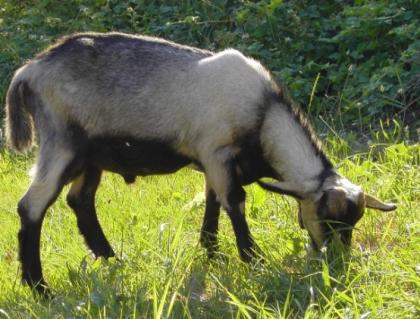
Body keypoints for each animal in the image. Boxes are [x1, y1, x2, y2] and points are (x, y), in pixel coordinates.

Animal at [4, 32, 398, 296]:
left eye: (352, 223)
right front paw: (253, 260)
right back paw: (39, 287)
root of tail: (29, 71)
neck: (263, 115)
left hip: (91, 157)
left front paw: (211, 253)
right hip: (61, 144)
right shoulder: (217, 151)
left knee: (80, 201)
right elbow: (235, 203)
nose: (337, 264)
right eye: (328, 220)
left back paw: (110, 259)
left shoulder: (213, 163)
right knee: (31, 206)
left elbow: (213, 203)